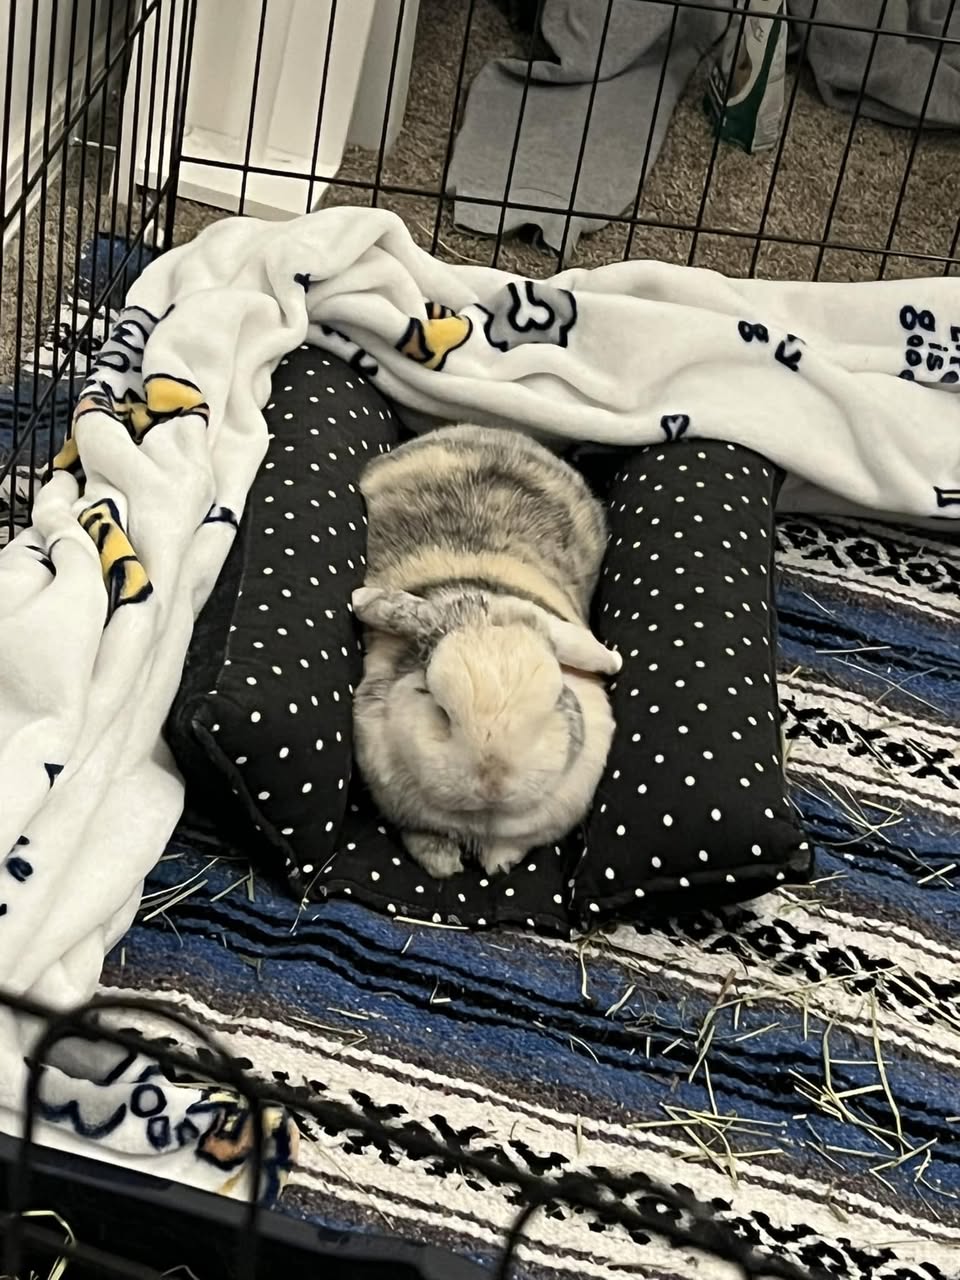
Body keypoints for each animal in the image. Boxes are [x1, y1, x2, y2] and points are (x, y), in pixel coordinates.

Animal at [351, 424, 620, 881]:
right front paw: (445, 864)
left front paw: (498, 863)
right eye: (436, 703)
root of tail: (490, 430)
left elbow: (513, 844)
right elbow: (422, 836)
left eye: (555, 700)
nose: (493, 783)